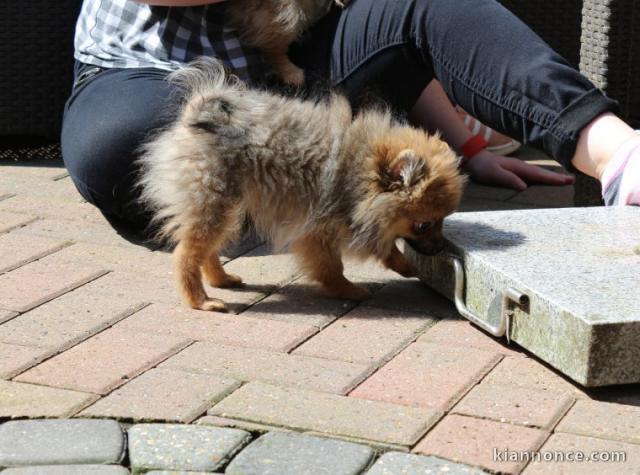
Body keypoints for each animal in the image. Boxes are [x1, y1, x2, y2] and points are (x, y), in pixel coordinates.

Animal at [139, 59, 464, 312]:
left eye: (443, 221)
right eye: (424, 224)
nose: (441, 247)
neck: (356, 169)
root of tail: (195, 113)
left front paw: (401, 264)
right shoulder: (318, 228)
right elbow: (332, 266)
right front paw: (348, 289)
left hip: (226, 205)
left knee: (206, 247)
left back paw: (221, 279)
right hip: (211, 200)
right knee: (186, 253)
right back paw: (200, 300)